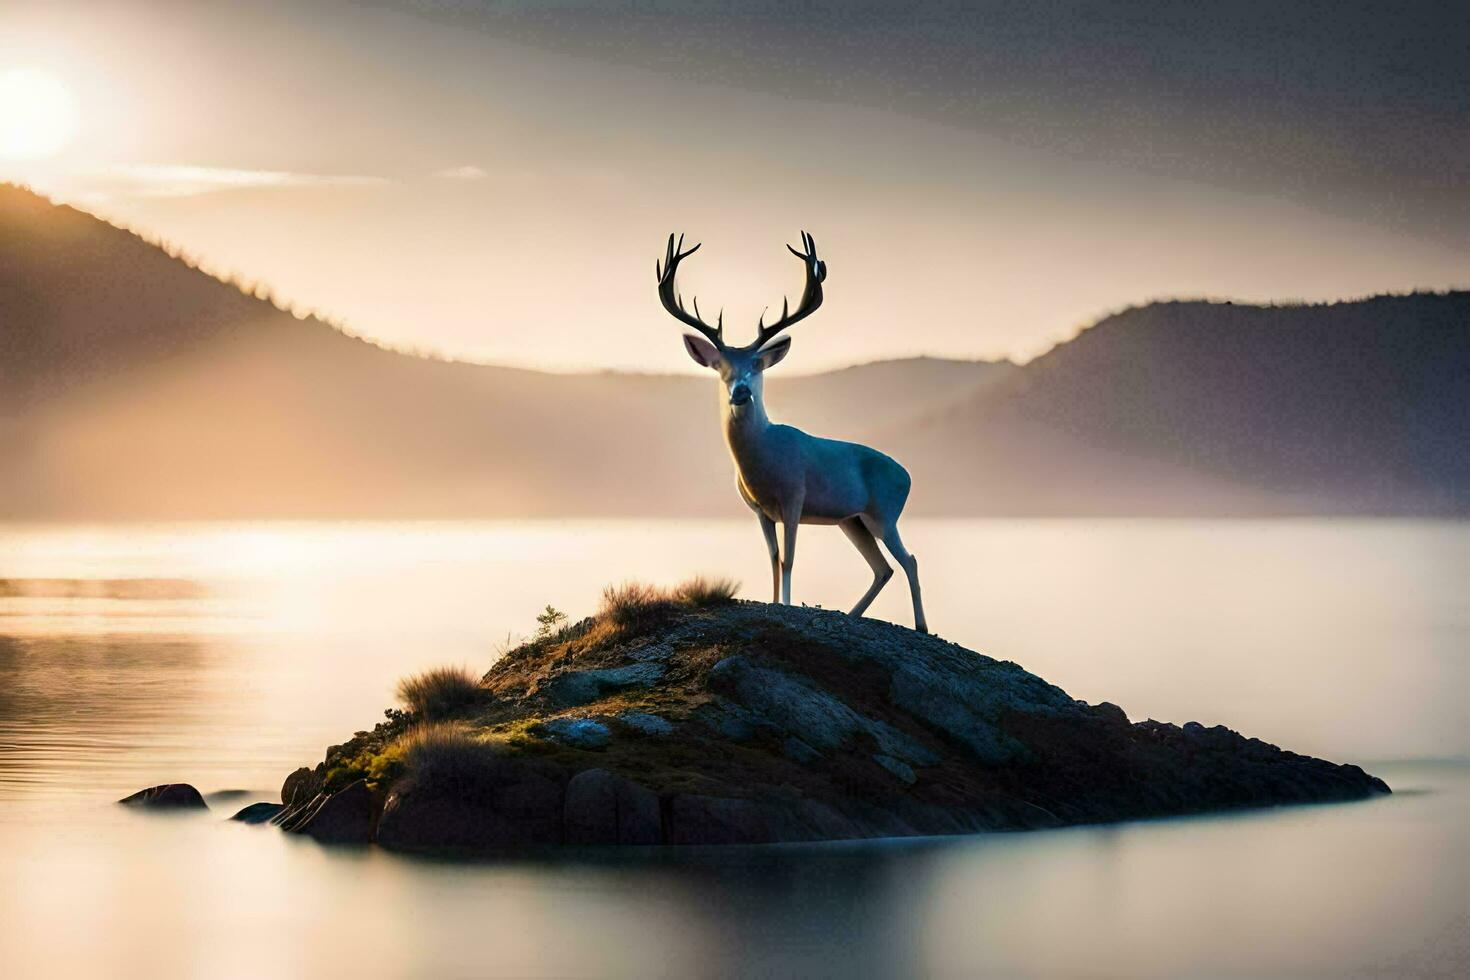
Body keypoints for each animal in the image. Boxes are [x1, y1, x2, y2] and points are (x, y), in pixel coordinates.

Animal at [658, 230, 929, 631]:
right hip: (853, 520)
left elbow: (788, 559)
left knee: (908, 560)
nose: (741, 392)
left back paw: (921, 625)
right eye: (721, 366)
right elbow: (772, 558)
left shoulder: (794, 497)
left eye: (756, 365)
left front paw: (786, 604)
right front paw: (774, 601)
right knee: (882, 568)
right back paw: (852, 614)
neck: (762, 462)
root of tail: (908, 475)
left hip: (884, 511)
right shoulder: (759, 509)